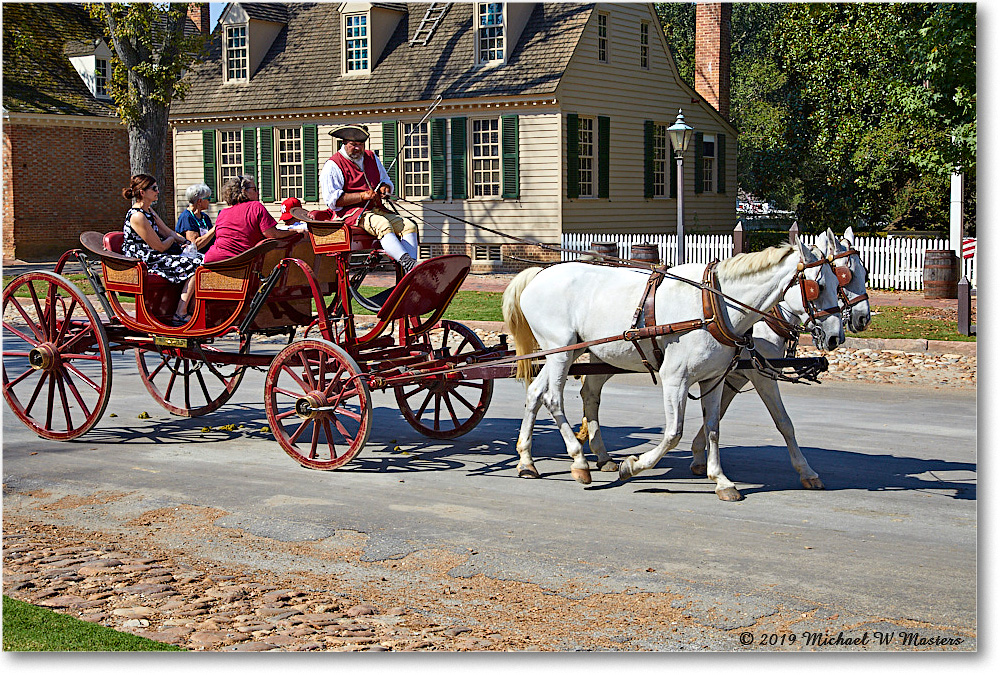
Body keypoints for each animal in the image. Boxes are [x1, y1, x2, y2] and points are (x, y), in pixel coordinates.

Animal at [504, 240, 840, 500]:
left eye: (841, 281)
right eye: (818, 285)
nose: (836, 336)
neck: (714, 305)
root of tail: (539, 274)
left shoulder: (714, 378)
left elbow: (714, 427)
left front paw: (721, 480)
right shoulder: (676, 378)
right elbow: (673, 433)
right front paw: (633, 465)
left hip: (567, 351)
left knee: (537, 393)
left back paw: (528, 461)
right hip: (561, 350)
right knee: (553, 398)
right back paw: (579, 461)